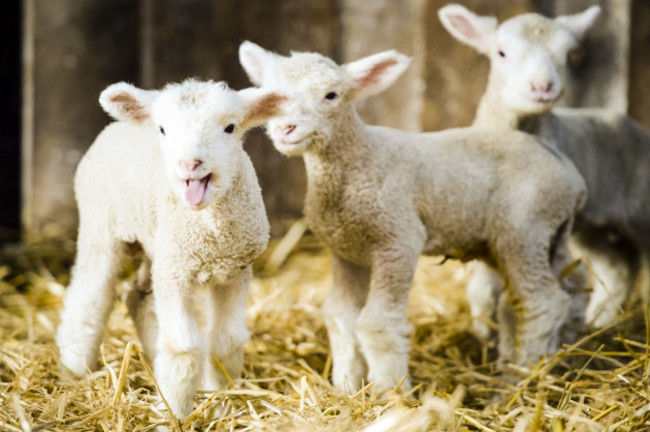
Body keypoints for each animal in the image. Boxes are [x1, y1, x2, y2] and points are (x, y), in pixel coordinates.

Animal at [55, 78, 286, 420]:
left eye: (230, 127)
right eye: (163, 129)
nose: (190, 164)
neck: (211, 235)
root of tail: (114, 125)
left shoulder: (235, 271)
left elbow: (226, 342)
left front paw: (222, 402)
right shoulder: (176, 273)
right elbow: (183, 348)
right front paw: (174, 415)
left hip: (157, 246)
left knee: (137, 298)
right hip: (102, 228)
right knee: (89, 298)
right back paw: (74, 369)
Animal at [238, 41, 588, 393]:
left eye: (331, 95)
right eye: (271, 97)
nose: (286, 129)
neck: (360, 158)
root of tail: (572, 177)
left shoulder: (398, 239)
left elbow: (377, 322)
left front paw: (388, 392)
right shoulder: (345, 250)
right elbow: (341, 315)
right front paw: (347, 388)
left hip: (524, 227)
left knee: (543, 302)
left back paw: (524, 378)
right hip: (537, 235)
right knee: (552, 291)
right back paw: (551, 359)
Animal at [439, 4, 650, 334]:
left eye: (565, 54)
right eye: (501, 52)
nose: (542, 87)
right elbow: (482, 284)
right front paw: (483, 330)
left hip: (642, 210)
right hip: (590, 225)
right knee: (617, 264)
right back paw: (598, 319)